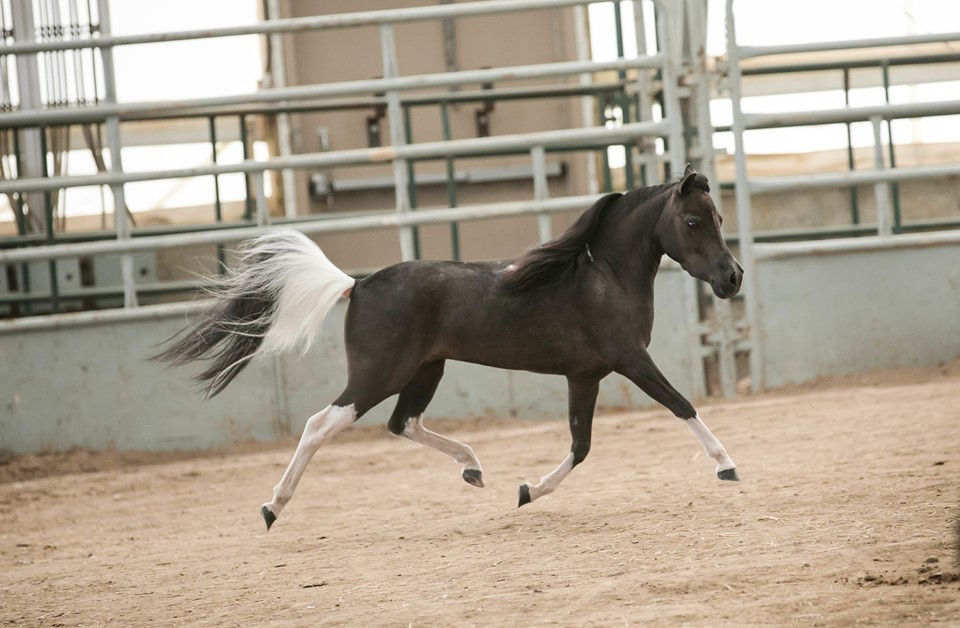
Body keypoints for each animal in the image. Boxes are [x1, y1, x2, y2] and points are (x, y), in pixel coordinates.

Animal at [156, 164, 743, 531]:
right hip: (378, 374)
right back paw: (272, 507)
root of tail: (357, 285)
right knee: (322, 424)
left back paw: (474, 468)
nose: (732, 278)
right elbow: (682, 405)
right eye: (693, 221)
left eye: (719, 217)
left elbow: (581, 445)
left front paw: (525, 490)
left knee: (403, 423)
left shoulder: (586, 376)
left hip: (426, 370)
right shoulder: (630, 361)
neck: (604, 277)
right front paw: (727, 466)